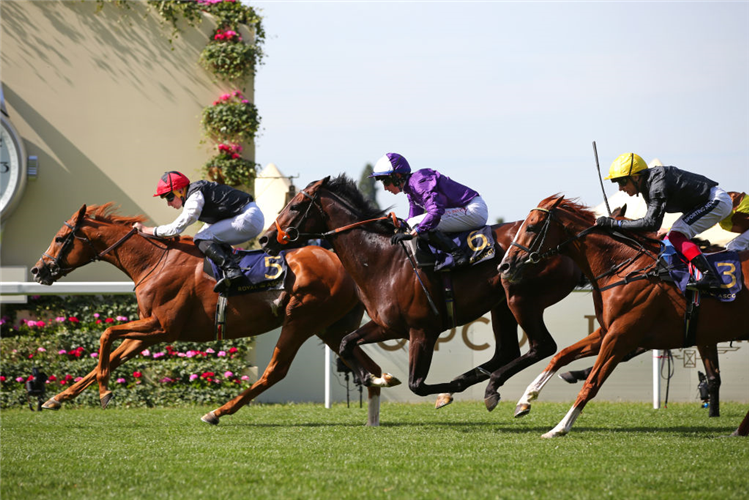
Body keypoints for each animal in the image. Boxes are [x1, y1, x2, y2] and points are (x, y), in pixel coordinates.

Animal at [29, 203, 398, 426]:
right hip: (329, 327)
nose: (37, 270)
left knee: (275, 371)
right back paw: (376, 408)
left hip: (301, 320)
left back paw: (218, 412)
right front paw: (56, 399)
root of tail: (347, 265)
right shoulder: (149, 331)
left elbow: (106, 335)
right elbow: (109, 357)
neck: (154, 261)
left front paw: (105, 393)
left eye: (60, 238)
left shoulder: (163, 327)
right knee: (366, 364)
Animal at [496, 195, 748, 438]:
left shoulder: (621, 336)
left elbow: (592, 383)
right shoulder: (607, 331)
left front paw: (559, 428)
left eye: (531, 227)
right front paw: (525, 400)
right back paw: (738, 430)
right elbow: (561, 355)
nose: (504, 266)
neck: (623, 267)